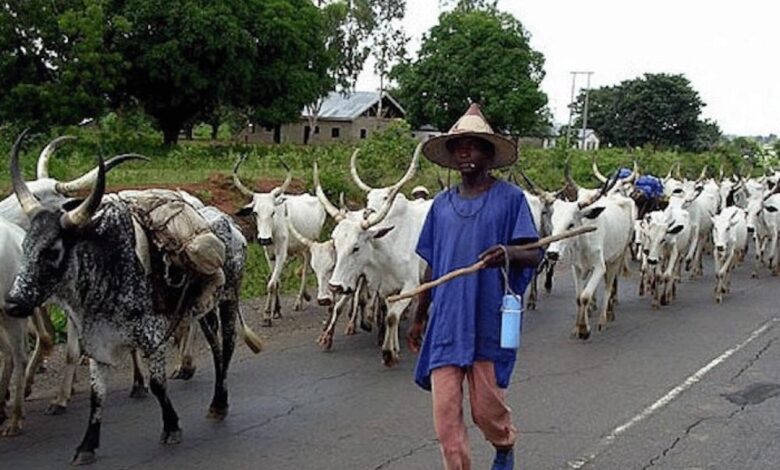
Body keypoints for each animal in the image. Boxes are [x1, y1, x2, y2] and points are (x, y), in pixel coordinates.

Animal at [235, 156, 326, 324]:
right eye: (255, 213)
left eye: (272, 212)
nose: (264, 239)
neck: (274, 227)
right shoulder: (269, 254)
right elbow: (275, 281)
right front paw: (276, 310)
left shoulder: (281, 254)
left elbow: (271, 284)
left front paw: (266, 314)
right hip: (298, 247)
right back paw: (305, 296)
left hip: (310, 244)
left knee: (305, 269)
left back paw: (299, 300)